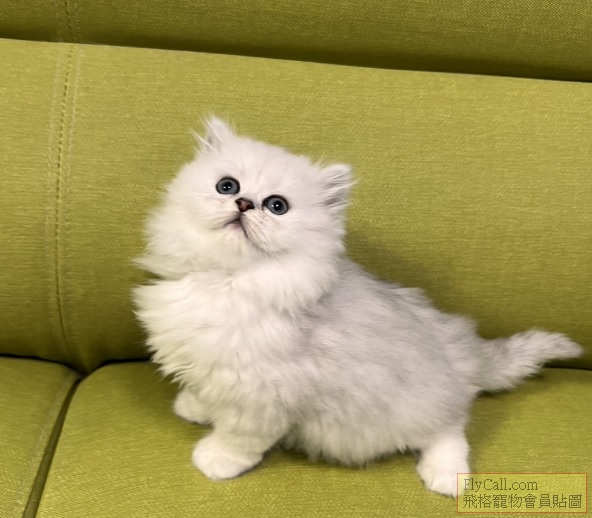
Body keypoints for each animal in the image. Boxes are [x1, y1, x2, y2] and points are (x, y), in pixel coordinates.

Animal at [133, 116, 582, 496]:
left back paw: (446, 477)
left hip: (409, 408)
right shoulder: (213, 367)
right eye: (227, 186)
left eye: (277, 206)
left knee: (451, 426)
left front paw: (215, 460)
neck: (228, 280)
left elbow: (238, 438)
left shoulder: (262, 397)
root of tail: (462, 351)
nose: (244, 203)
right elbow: (205, 392)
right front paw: (194, 407)